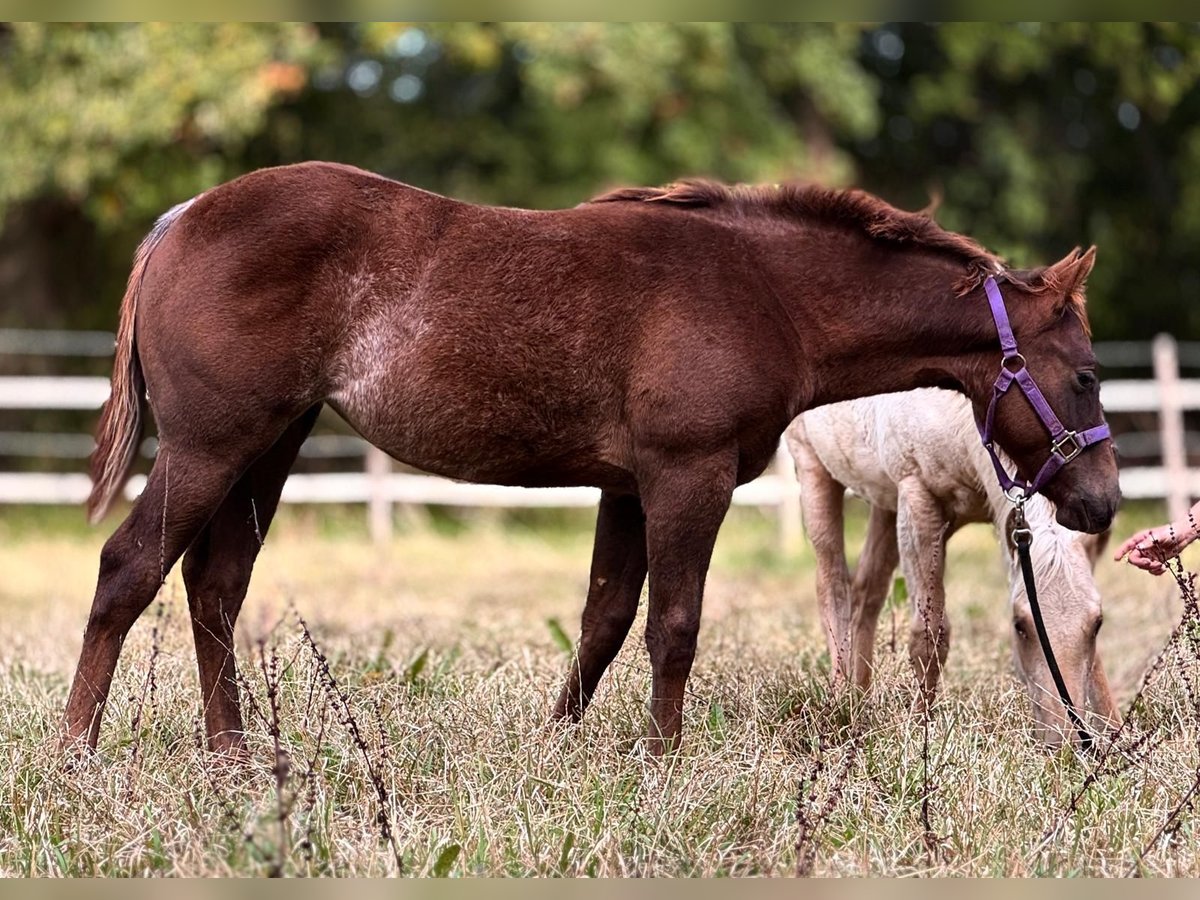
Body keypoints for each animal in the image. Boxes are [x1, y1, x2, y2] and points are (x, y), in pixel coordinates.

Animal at [787, 389, 1121, 746]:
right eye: (1019, 625)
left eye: (1098, 624)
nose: (1064, 742)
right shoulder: (918, 499)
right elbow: (930, 634)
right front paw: (919, 731)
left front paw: (1116, 733)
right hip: (813, 470)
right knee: (833, 586)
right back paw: (839, 704)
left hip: (884, 501)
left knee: (867, 591)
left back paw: (859, 701)